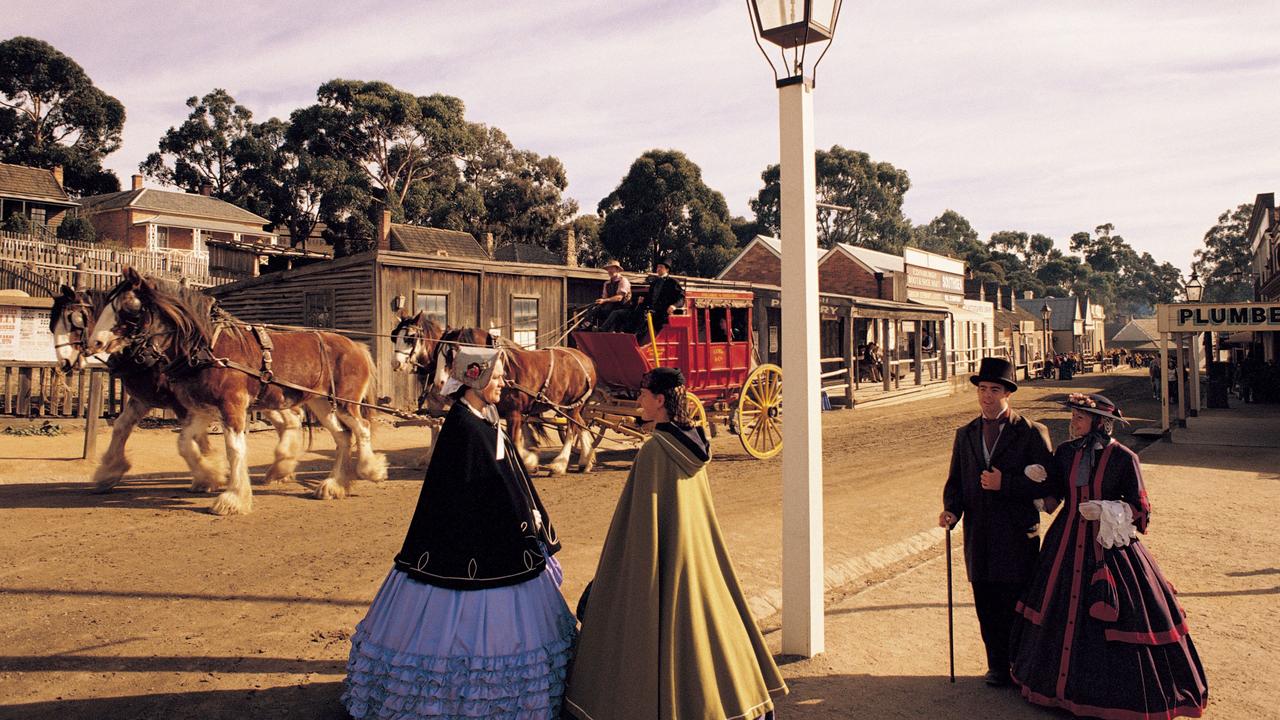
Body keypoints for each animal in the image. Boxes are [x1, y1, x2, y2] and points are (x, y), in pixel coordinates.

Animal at [50, 283, 307, 489]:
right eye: (52, 326)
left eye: (74, 322)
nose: (64, 363)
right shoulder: (143, 398)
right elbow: (121, 428)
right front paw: (109, 472)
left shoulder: (184, 403)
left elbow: (195, 439)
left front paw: (210, 473)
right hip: (266, 395)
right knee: (290, 419)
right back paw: (282, 467)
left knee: (291, 418)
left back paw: (282, 466)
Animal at [87, 266, 384, 512]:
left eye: (129, 308)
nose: (94, 343)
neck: (207, 348)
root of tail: (357, 346)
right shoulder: (201, 407)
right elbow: (184, 442)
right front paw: (210, 475)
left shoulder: (231, 405)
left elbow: (234, 448)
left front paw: (233, 498)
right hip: (322, 403)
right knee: (342, 436)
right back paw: (333, 484)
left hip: (345, 402)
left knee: (361, 429)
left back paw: (369, 469)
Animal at [424, 327, 593, 474]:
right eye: (437, 354)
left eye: (451, 354)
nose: (438, 383)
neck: (504, 369)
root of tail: (586, 359)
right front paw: (530, 460)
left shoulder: (514, 413)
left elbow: (514, 440)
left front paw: (526, 461)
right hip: (568, 407)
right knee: (582, 425)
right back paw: (586, 461)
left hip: (572, 405)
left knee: (572, 429)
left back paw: (560, 464)